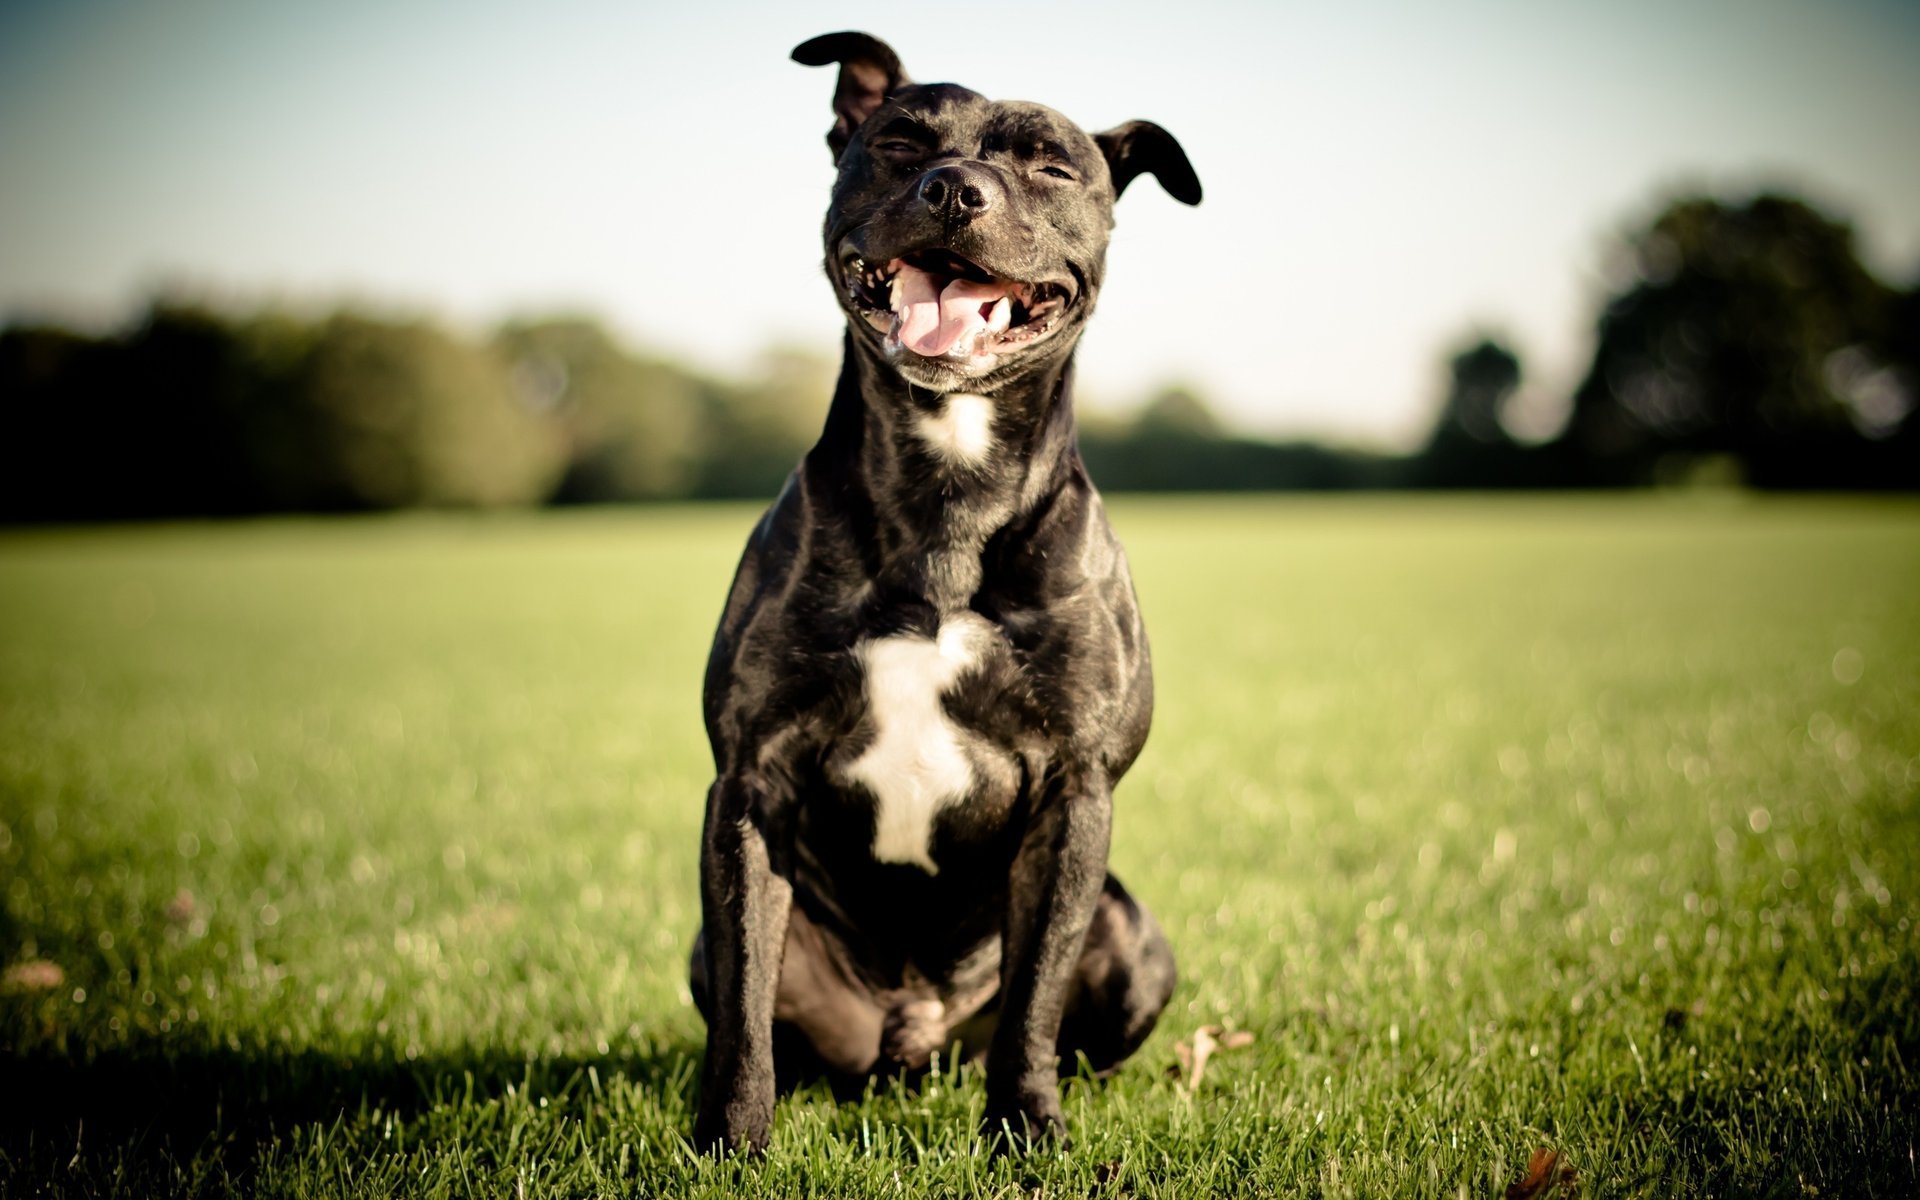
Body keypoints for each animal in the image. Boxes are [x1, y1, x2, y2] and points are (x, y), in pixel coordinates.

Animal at [691, 30, 1198, 1152]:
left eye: (1051, 166)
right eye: (898, 143)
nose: (955, 189)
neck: (947, 494)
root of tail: (911, 1037)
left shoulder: (1073, 796)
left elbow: (1036, 997)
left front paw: (1026, 1130)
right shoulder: (751, 783)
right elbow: (745, 1002)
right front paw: (731, 1142)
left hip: (1136, 939)